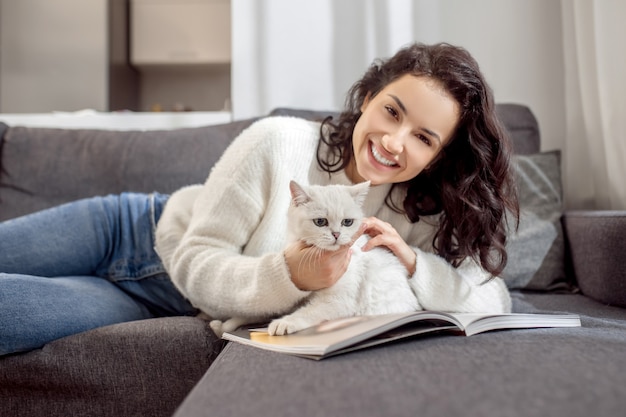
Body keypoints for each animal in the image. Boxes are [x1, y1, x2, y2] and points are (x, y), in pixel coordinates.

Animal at [210, 180, 420, 336]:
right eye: (320, 222)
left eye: (347, 222)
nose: (336, 234)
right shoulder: (295, 298)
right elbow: (258, 312)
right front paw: (224, 326)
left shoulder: (339, 300)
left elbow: (308, 312)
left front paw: (283, 323)